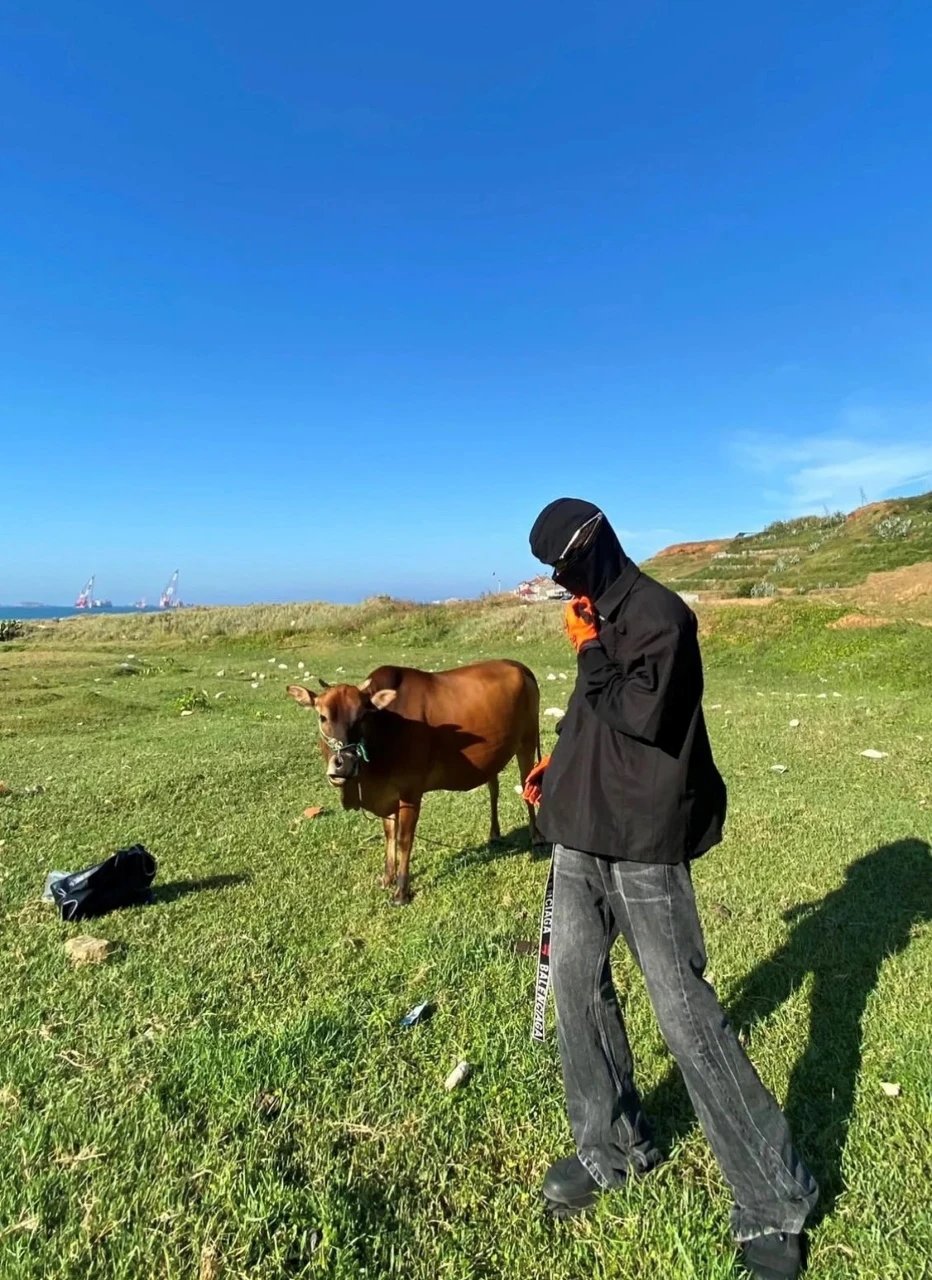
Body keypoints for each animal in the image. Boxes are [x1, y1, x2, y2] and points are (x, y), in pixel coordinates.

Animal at [287, 660, 541, 904]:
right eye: (322, 717)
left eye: (362, 716)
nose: (343, 764)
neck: (386, 728)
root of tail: (517, 665)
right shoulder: (388, 793)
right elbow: (389, 833)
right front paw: (387, 878)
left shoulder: (410, 791)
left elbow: (403, 839)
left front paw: (401, 892)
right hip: (494, 756)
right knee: (493, 789)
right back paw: (494, 834)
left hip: (527, 743)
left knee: (527, 785)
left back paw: (536, 836)